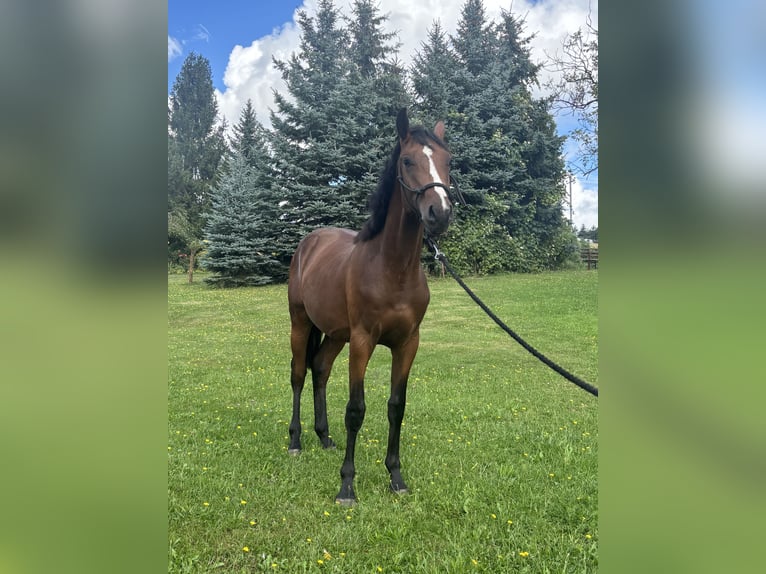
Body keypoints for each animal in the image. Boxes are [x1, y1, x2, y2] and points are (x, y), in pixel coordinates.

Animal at [287, 108, 455, 504]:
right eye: (407, 160)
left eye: (448, 161)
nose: (439, 212)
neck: (392, 270)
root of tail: (309, 243)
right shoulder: (363, 342)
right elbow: (355, 409)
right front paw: (347, 485)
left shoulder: (408, 343)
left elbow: (396, 406)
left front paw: (396, 476)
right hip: (301, 324)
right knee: (299, 374)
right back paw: (296, 441)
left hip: (335, 335)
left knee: (320, 369)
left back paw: (324, 437)